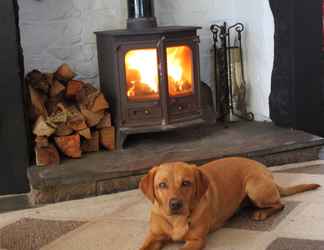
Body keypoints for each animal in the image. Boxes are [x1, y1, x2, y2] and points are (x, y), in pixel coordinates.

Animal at [139, 157, 322, 249]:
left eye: (186, 183)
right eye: (162, 185)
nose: (175, 204)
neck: (176, 220)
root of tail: (267, 172)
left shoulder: (196, 241)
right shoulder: (153, 237)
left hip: (254, 187)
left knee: (279, 204)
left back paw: (261, 213)